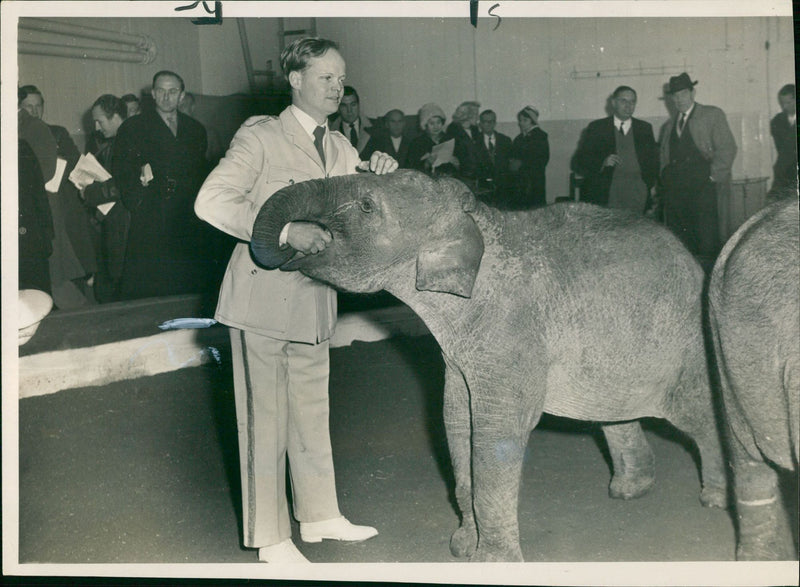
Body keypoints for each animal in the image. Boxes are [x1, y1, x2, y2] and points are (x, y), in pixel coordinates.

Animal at [248, 171, 724, 564]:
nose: (295, 244)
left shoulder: (512, 335)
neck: (476, 218)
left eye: (366, 205)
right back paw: (628, 491)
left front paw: (491, 562)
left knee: (699, 415)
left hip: (685, 341)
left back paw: (716, 501)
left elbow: (497, 432)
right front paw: (462, 547)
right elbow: (456, 422)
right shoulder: (460, 356)